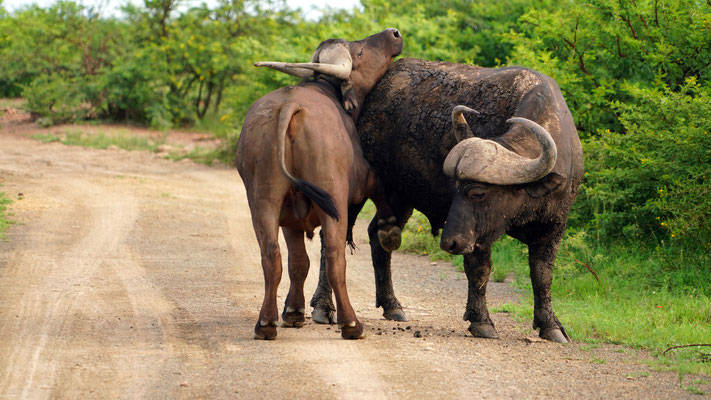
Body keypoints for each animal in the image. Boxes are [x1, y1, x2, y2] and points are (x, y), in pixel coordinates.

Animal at [236, 28, 404, 340]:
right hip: (333, 200)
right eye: (360, 51)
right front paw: (389, 229)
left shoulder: (290, 220)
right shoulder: (362, 178)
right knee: (336, 258)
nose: (394, 33)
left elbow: (299, 263)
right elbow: (379, 188)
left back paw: (266, 323)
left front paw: (293, 311)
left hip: (263, 198)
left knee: (272, 256)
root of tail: (289, 106)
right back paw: (351, 324)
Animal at [312, 57, 584, 342]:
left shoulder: (553, 227)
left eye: (477, 192)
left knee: (379, 235)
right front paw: (481, 321)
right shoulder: (475, 235)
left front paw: (551, 325)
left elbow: (542, 275)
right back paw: (324, 308)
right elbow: (480, 269)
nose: (448, 242)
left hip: (400, 195)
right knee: (332, 236)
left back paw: (392, 305)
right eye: (455, 188)